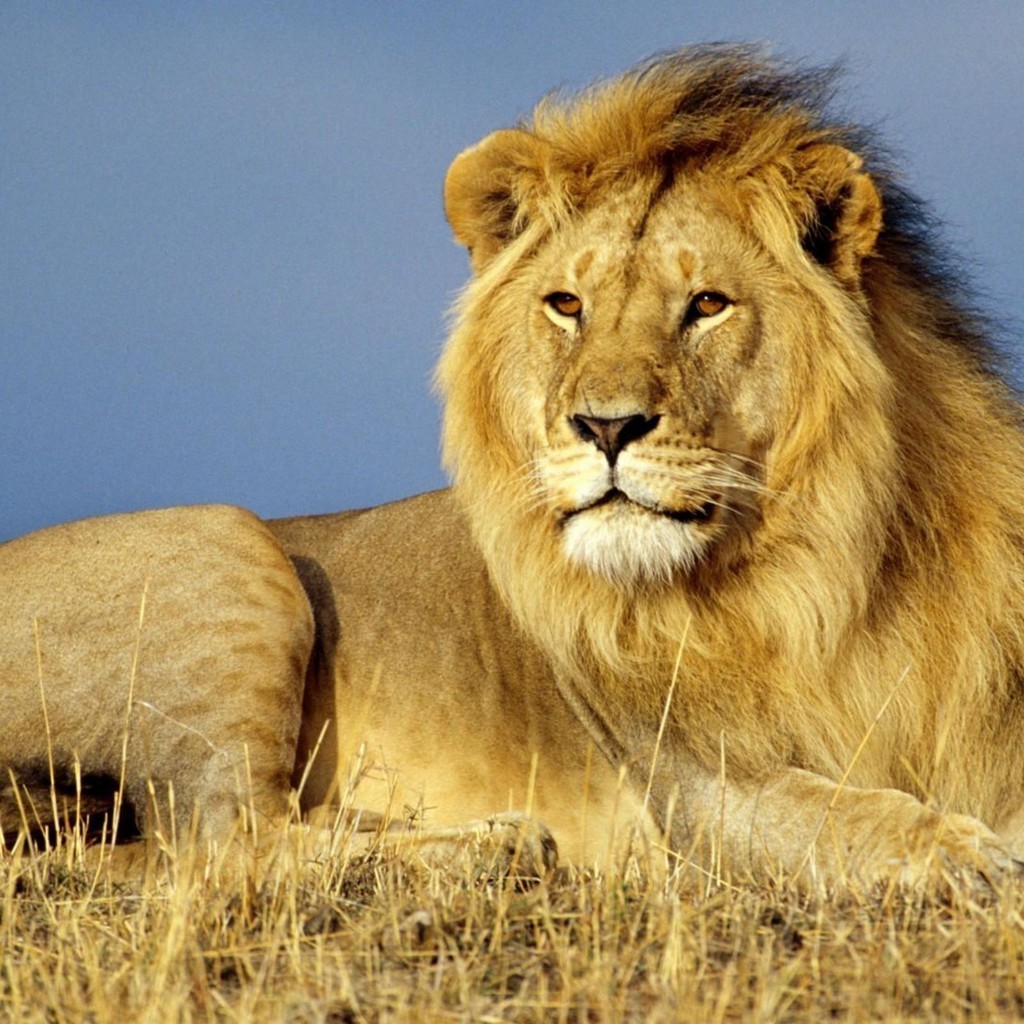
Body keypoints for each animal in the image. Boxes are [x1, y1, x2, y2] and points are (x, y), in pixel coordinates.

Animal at [3, 45, 1024, 889]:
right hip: (224, 544)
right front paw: (974, 858)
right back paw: (494, 844)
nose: (605, 426)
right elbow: (856, 820)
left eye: (707, 304)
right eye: (566, 304)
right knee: (217, 844)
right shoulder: (695, 790)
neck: (833, 570)